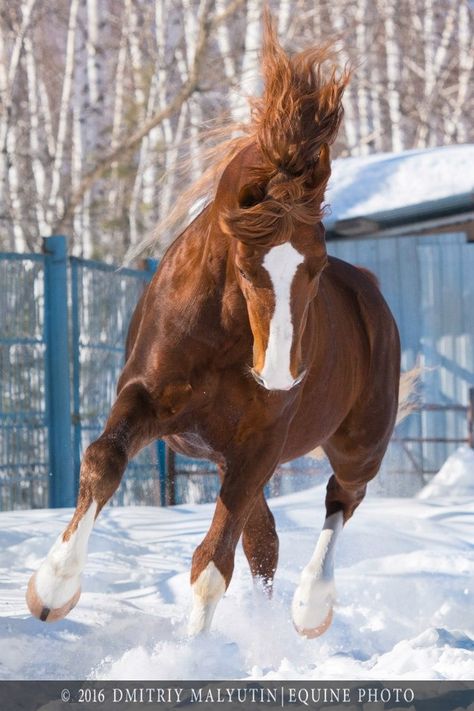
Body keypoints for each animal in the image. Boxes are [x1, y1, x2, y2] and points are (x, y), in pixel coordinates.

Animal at [25, 16, 400, 640]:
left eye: (317, 263)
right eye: (245, 265)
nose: (280, 376)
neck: (224, 337)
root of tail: (372, 295)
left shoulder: (260, 443)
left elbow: (212, 563)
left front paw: (190, 652)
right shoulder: (148, 400)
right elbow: (102, 462)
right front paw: (52, 589)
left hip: (357, 444)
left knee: (342, 497)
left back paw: (311, 608)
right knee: (267, 540)